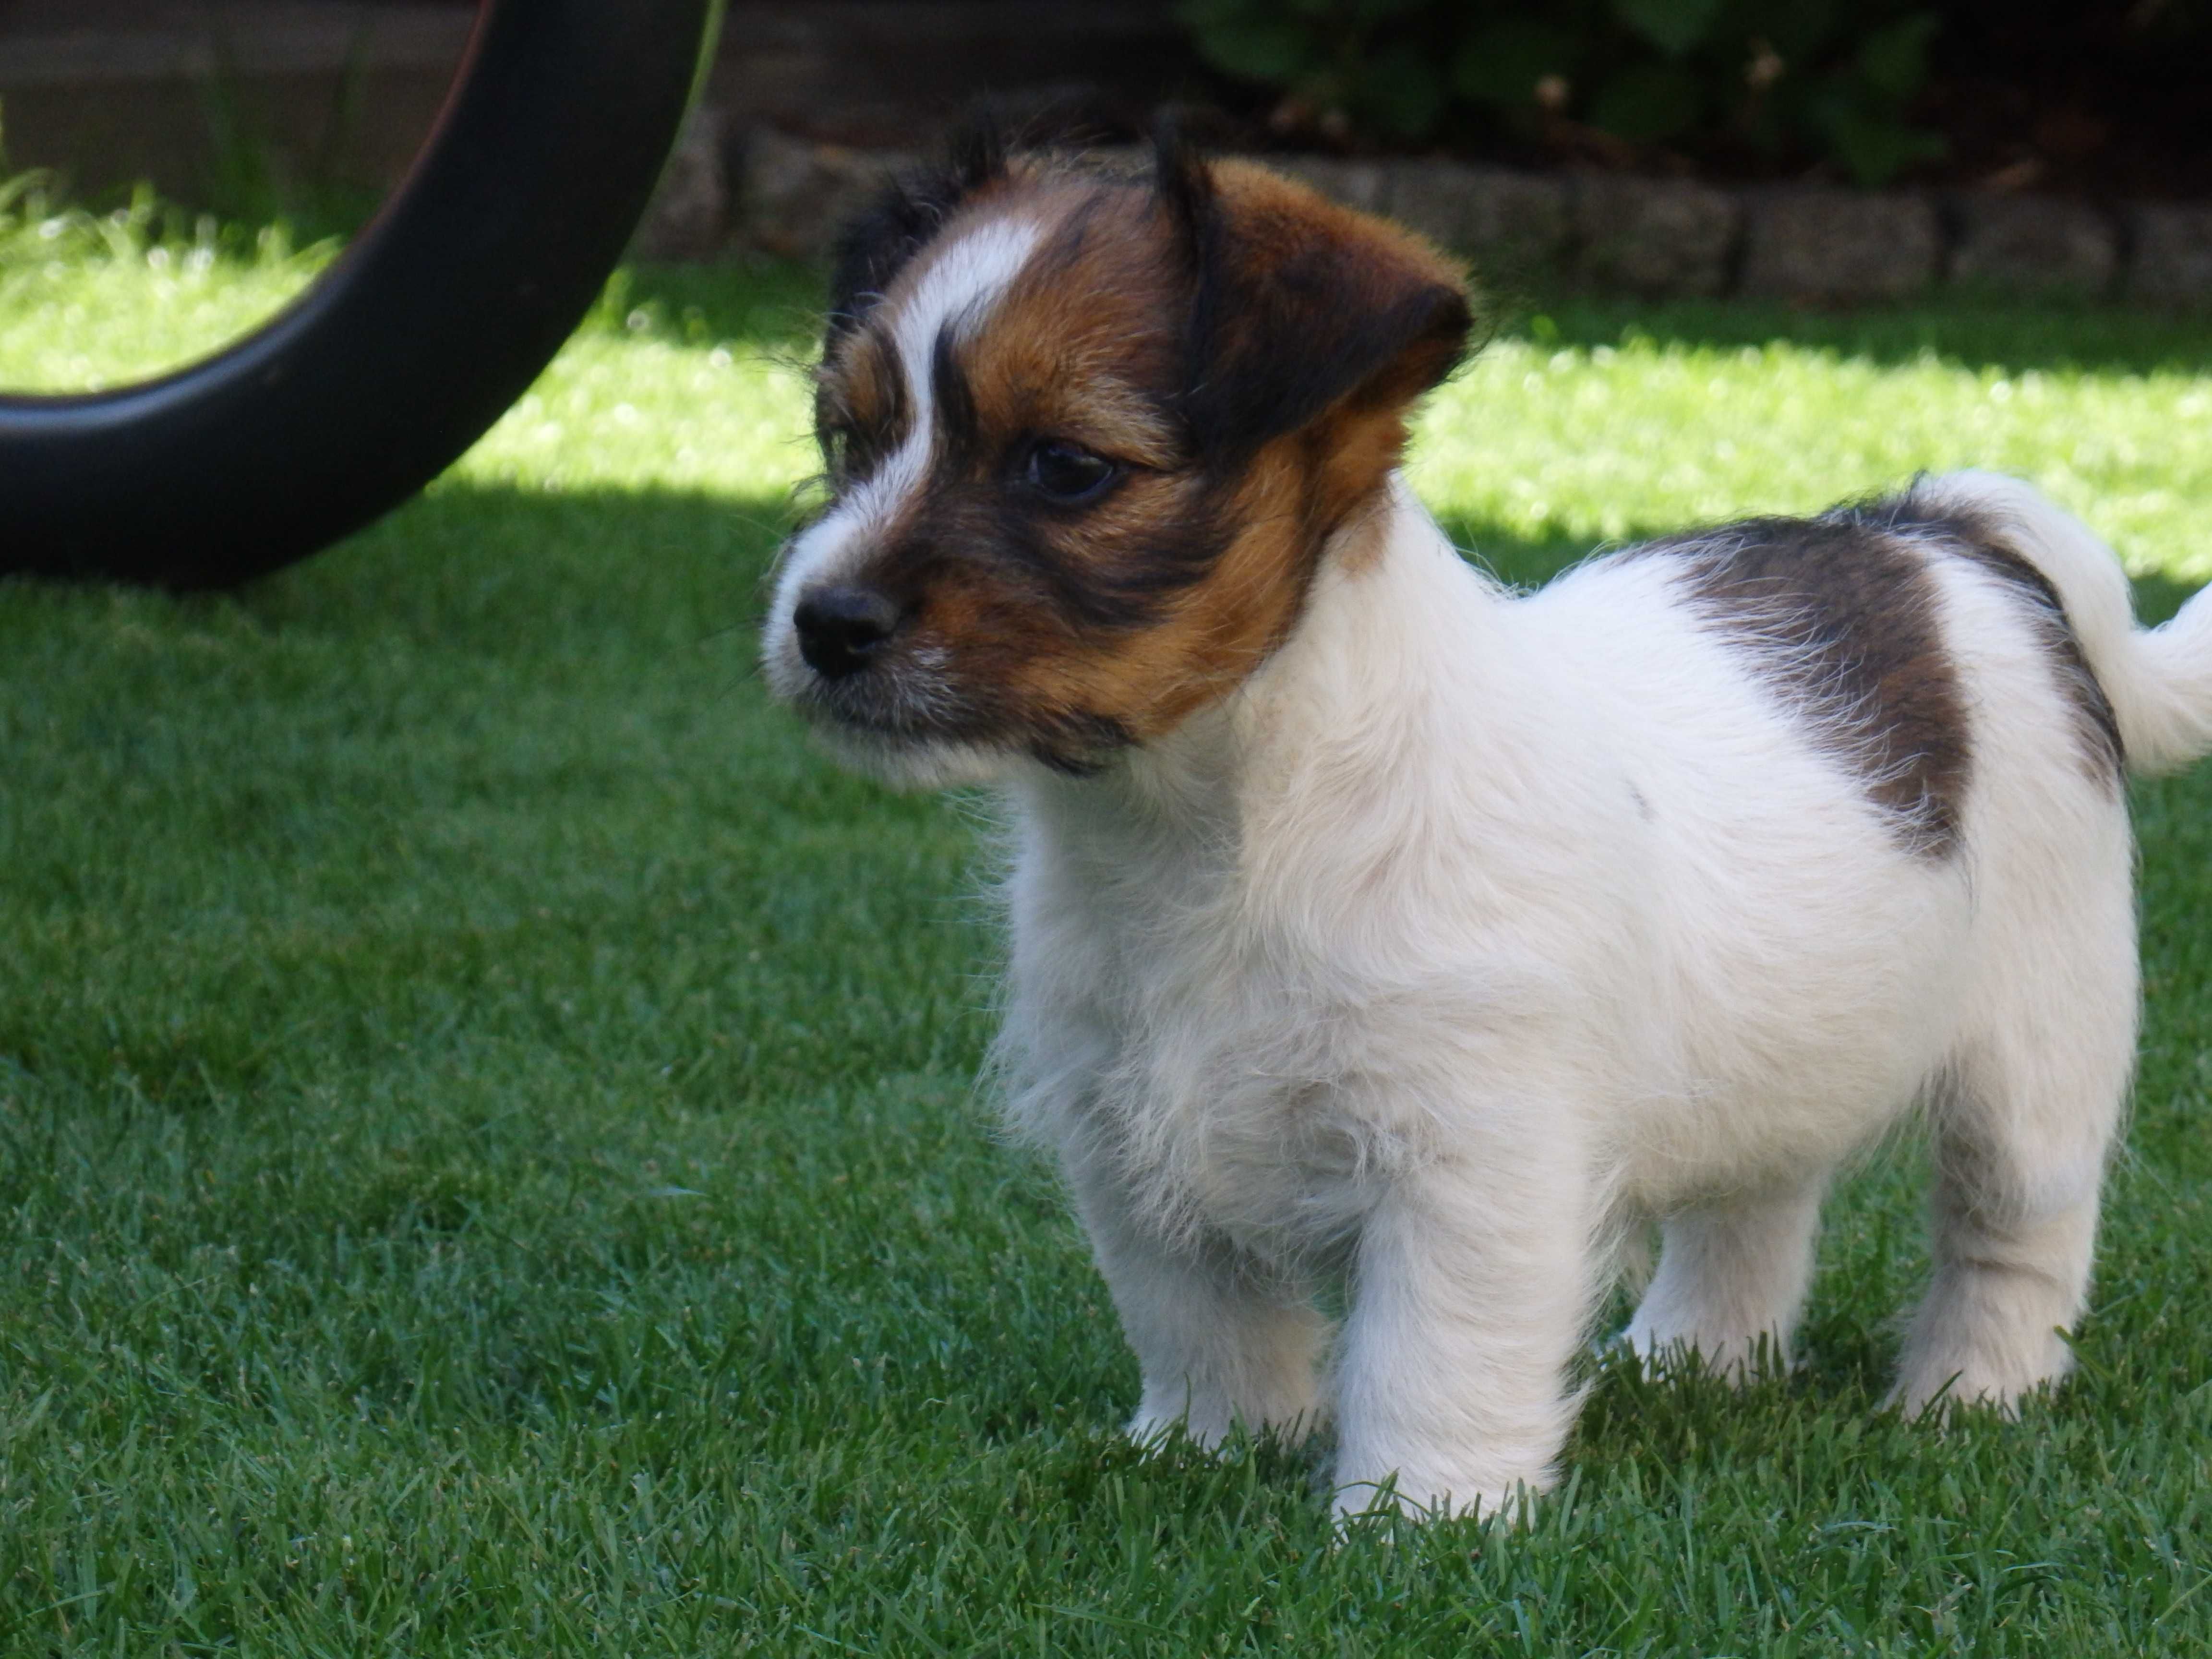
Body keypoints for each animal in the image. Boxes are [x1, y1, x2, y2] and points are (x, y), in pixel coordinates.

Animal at [756, 130, 2212, 1530]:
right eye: (849, 439)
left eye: (1065, 468)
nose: (822, 625)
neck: (1216, 818)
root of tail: (1941, 536)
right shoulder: (1126, 1132)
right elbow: (1197, 1315)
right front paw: (1205, 1450)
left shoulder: (1469, 1162)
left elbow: (1433, 1351)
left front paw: (1422, 1520)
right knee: (1754, 1207)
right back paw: (1691, 1358)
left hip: (2038, 1054)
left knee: (2014, 1236)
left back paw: (1969, 1395)